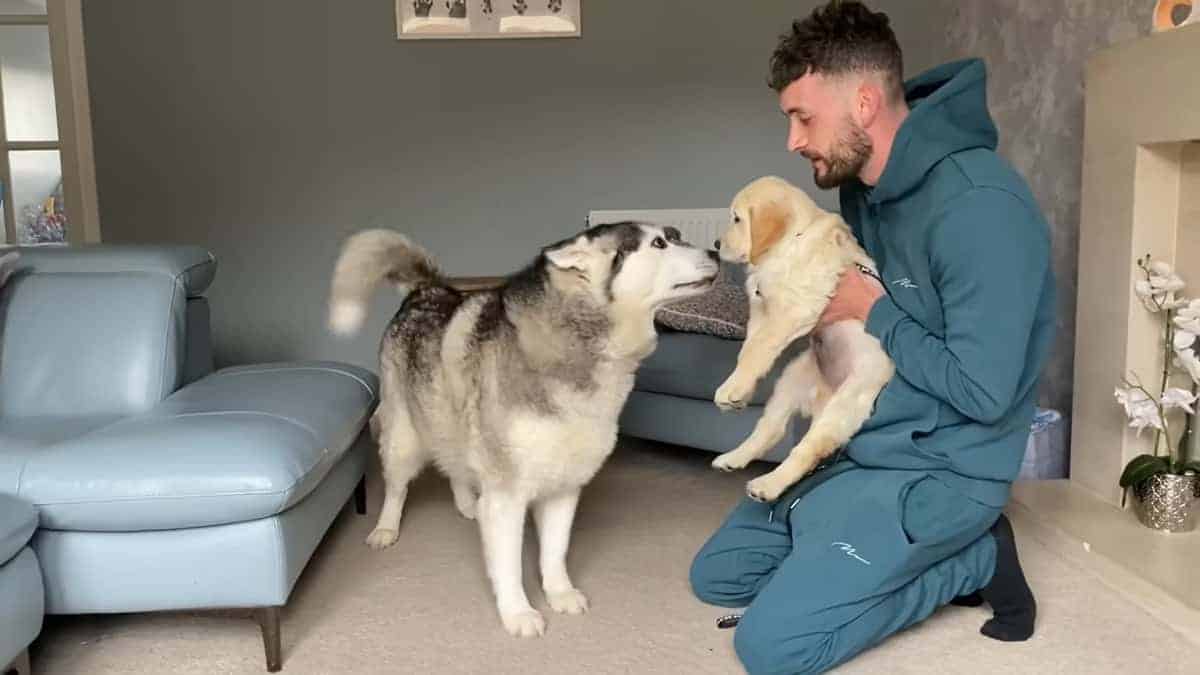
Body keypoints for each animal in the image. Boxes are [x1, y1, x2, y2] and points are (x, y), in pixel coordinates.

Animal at [328, 222, 715, 634]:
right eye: (659, 243)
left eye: (675, 234)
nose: (718, 251)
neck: (578, 341)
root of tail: (427, 289)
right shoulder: (507, 495)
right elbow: (509, 563)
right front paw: (517, 612)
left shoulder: (564, 487)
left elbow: (555, 552)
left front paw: (559, 593)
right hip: (404, 435)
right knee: (398, 485)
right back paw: (387, 528)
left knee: (455, 465)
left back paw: (468, 504)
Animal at [710, 172, 892, 499]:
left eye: (737, 218)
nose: (716, 244)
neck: (790, 243)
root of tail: (822, 398)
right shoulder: (761, 310)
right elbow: (748, 350)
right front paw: (740, 391)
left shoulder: (795, 309)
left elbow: (757, 348)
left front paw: (731, 388)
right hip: (791, 381)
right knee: (771, 429)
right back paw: (734, 458)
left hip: (847, 403)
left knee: (808, 450)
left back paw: (769, 485)